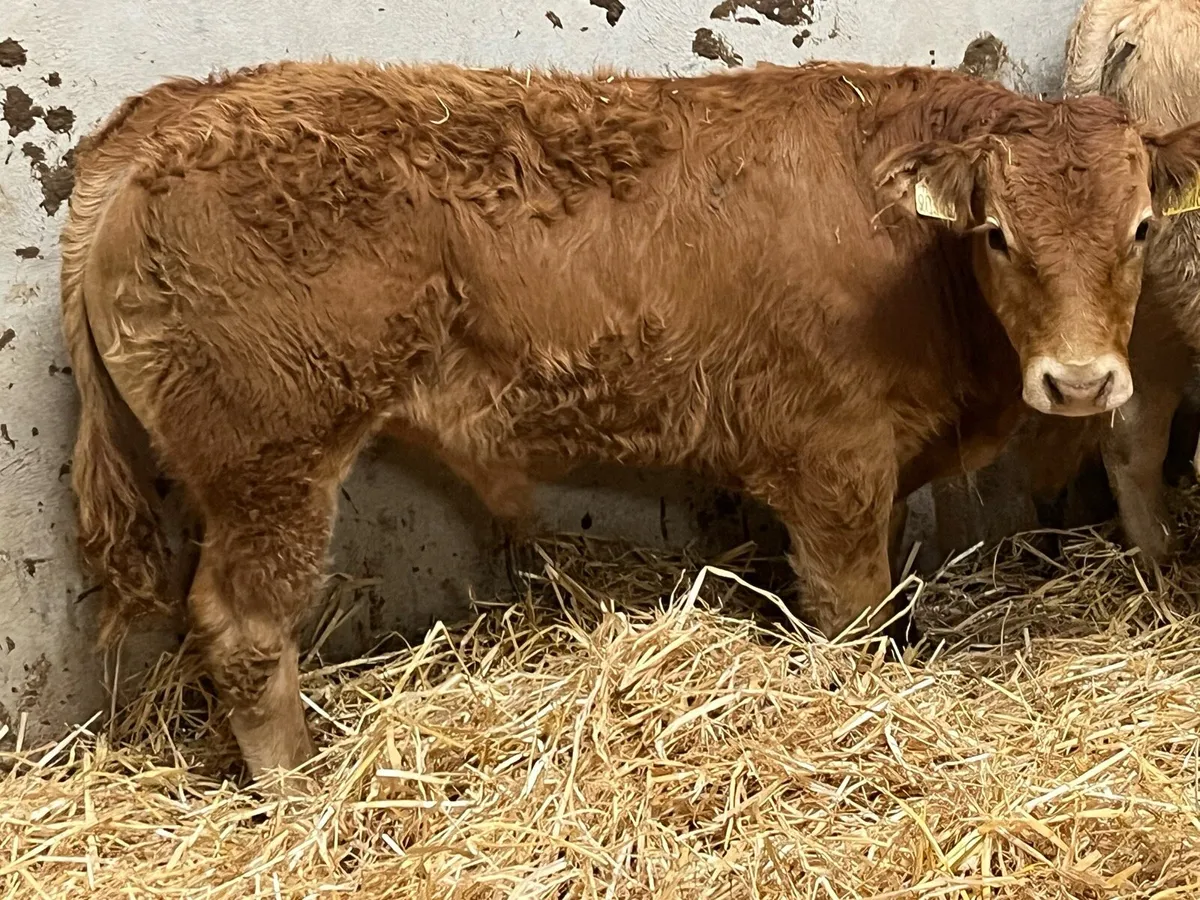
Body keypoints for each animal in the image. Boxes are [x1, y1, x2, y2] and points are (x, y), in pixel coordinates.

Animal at [61, 58, 1200, 782]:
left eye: (1143, 228)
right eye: (999, 234)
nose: (1081, 385)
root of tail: (174, 115)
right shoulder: (835, 464)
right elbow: (853, 614)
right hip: (272, 462)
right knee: (246, 631)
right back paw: (302, 794)